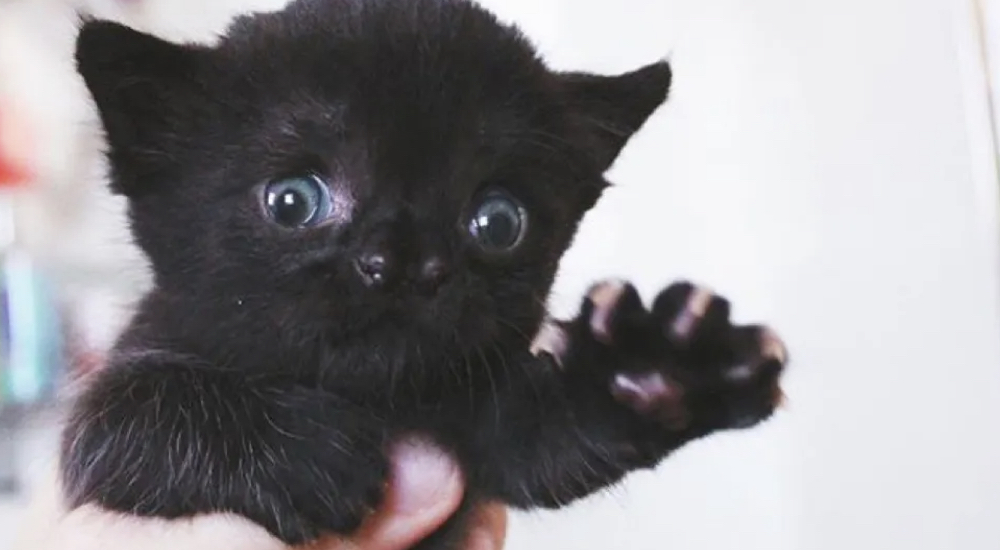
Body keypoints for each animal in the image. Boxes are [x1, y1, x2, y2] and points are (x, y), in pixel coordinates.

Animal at [64, 0, 788, 548]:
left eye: (498, 220)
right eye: (292, 201)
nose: (404, 264)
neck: (382, 405)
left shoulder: (494, 418)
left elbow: (556, 436)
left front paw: (658, 364)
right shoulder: (102, 438)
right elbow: (132, 413)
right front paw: (307, 452)